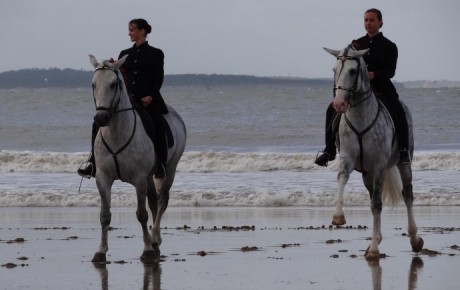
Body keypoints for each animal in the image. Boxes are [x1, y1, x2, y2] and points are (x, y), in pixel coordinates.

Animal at [88, 53, 185, 262]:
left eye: (113, 84)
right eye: (93, 84)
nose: (101, 118)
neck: (116, 133)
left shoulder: (139, 178)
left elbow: (141, 214)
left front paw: (147, 250)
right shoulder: (103, 178)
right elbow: (104, 215)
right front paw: (101, 251)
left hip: (168, 170)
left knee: (162, 201)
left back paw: (155, 238)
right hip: (150, 176)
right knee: (154, 201)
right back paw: (155, 239)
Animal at [324, 46, 424, 260]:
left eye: (353, 71)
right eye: (334, 69)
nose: (338, 104)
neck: (360, 116)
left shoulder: (379, 166)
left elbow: (377, 205)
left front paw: (375, 248)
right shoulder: (348, 160)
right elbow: (342, 180)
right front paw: (338, 217)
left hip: (403, 162)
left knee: (407, 194)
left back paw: (414, 239)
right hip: (367, 174)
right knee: (373, 198)